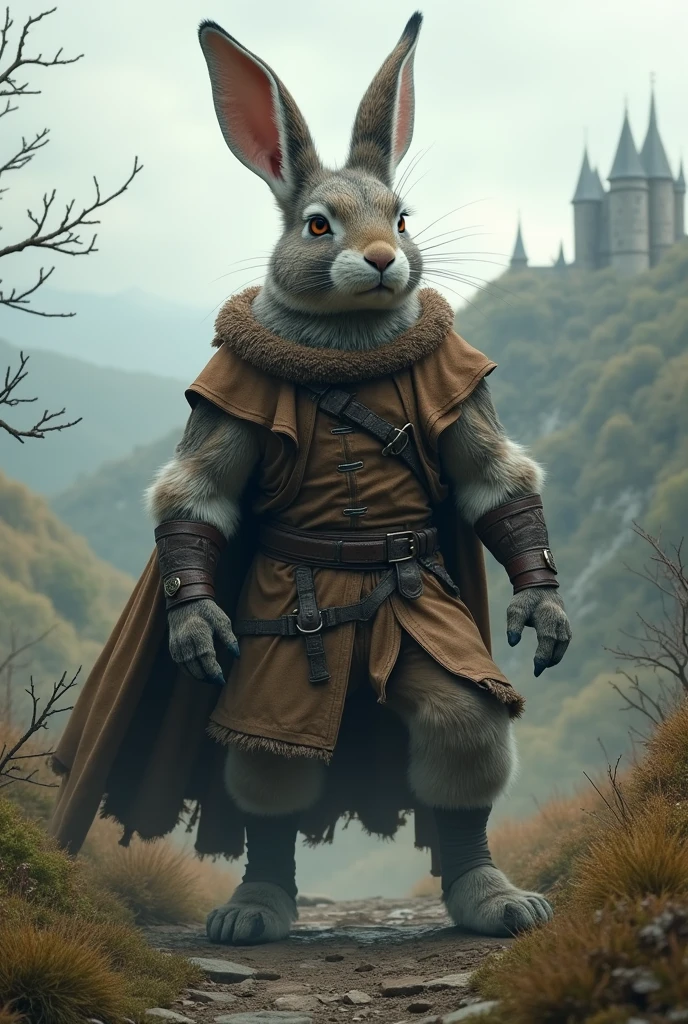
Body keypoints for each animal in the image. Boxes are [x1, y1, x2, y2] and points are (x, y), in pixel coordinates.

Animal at [146, 12, 571, 944]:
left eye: (401, 216)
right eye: (317, 225)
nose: (382, 259)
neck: (347, 346)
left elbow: (495, 484)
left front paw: (543, 606)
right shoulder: (228, 392)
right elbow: (198, 496)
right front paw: (194, 624)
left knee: (460, 732)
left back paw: (488, 898)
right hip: (277, 678)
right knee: (269, 769)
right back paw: (257, 904)